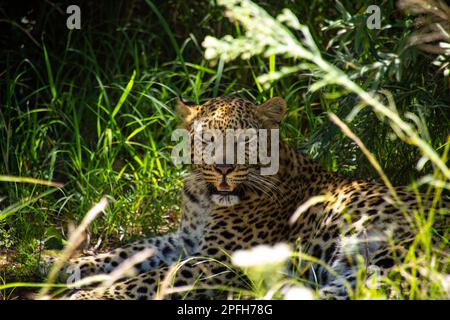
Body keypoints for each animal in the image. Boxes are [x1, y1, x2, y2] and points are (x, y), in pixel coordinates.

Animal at [40, 95, 448, 300]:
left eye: (245, 141)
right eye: (207, 139)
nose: (223, 168)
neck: (205, 200)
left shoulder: (218, 260)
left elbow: (157, 277)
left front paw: (91, 295)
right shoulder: (184, 240)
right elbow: (135, 251)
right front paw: (65, 264)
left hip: (386, 258)